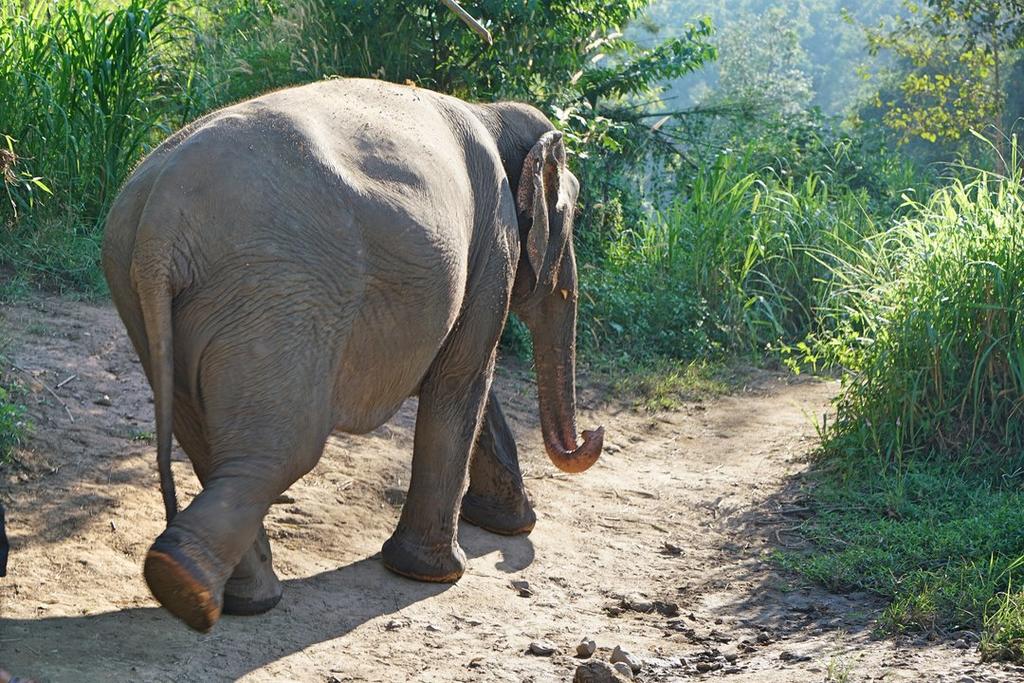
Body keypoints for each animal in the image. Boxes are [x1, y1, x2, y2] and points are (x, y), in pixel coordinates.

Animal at [102, 77, 603, 632]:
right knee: (286, 448)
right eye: (573, 217)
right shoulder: (496, 243)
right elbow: (463, 377)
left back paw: (232, 598)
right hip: (278, 291)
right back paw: (188, 586)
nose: (594, 434)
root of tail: (159, 223)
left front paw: (507, 526)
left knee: (209, 439)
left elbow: (468, 377)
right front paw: (436, 574)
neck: (491, 112)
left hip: (150, 295)